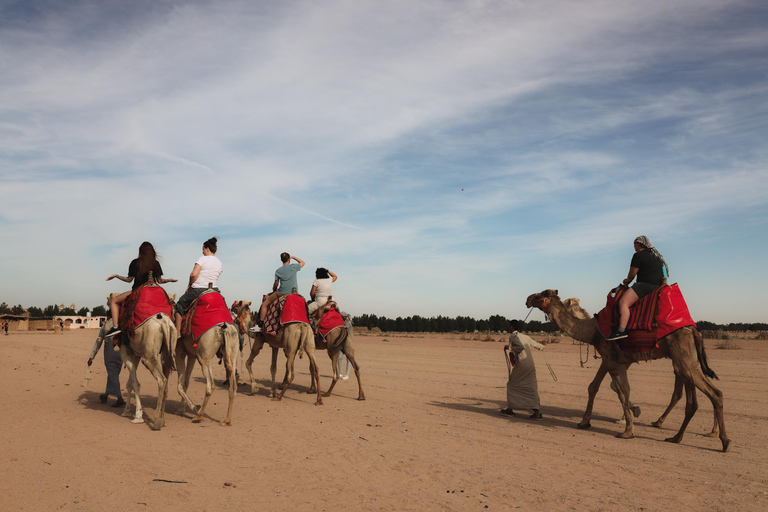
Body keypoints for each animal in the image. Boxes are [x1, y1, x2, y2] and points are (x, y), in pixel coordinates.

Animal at [524, 288, 728, 452]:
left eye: (540, 294)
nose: (527, 298)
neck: (592, 331)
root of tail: (693, 330)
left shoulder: (612, 360)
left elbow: (621, 392)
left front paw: (628, 429)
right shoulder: (615, 360)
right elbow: (596, 387)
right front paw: (584, 422)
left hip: (684, 359)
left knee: (714, 393)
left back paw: (723, 441)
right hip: (684, 361)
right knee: (692, 399)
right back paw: (677, 436)